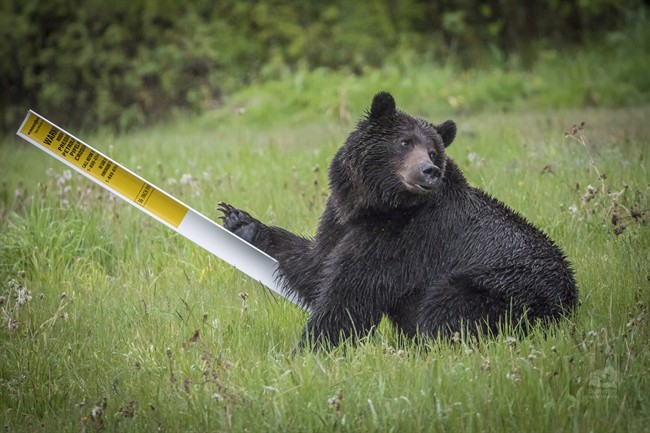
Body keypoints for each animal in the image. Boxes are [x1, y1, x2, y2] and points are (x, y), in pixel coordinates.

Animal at [218, 91, 578, 348]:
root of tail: (569, 305)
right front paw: (241, 221)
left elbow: (350, 295)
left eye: (433, 152)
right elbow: (316, 265)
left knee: (446, 310)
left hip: (501, 289)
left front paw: (308, 350)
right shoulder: (341, 220)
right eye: (404, 142)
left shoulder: (404, 238)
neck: (373, 205)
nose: (428, 171)